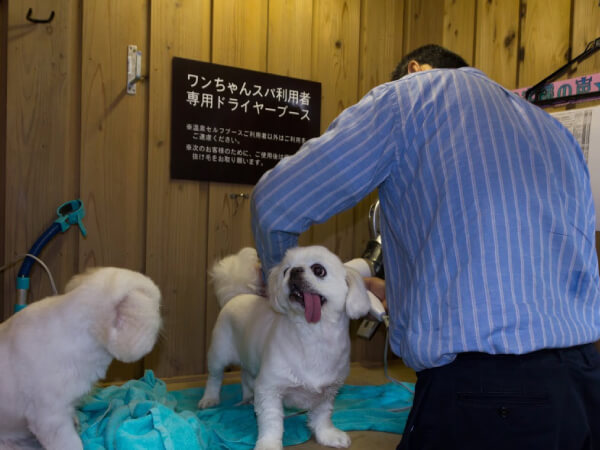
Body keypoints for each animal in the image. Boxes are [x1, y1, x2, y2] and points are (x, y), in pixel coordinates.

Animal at [199, 246, 372, 450]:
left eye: (319, 270)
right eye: (285, 271)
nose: (295, 271)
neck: (313, 336)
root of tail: (238, 295)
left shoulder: (328, 392)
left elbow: (322, 416)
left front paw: (327, 435)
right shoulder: (269, 389)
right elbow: (272, 422)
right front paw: (268, 445)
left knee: (246, 376)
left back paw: (248, 397)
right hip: (219, 355)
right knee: (215, 378)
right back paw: (209, 399)